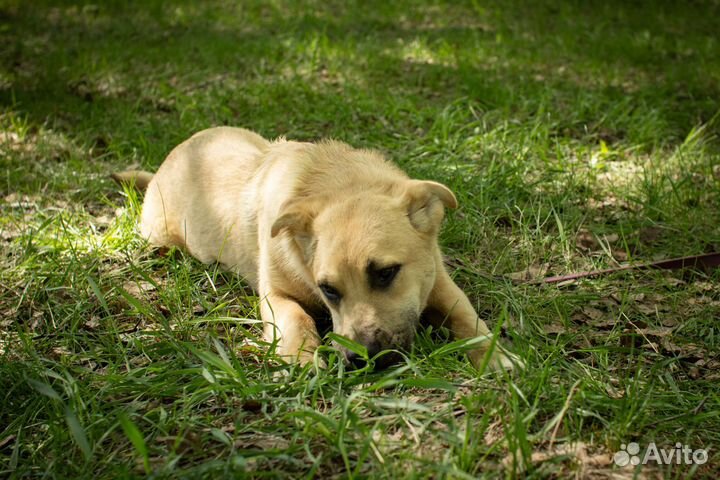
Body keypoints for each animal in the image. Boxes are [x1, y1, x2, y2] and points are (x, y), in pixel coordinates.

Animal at [111, 125, 516, 370]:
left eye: (386, 273)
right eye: (328, 289)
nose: (361, 358)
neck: (339, 182)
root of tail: (162, 167)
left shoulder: (439, 281)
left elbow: (467, 317)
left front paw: (493, 355)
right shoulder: (274, 294)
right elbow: (296, 318)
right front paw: (303, 359)